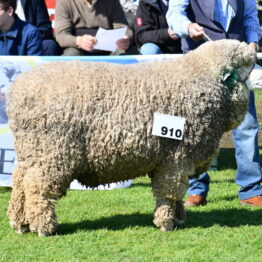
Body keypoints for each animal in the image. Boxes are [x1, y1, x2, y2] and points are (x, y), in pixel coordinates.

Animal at [6, 39, 256, 235]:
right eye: (248, 64)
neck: (201, 81)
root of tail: (17, 91)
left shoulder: (178, 161)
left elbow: (177, 194)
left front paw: (178, 217)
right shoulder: (175, 158)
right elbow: (169, 193)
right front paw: (166, 222)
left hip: (32, 152)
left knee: (19, 184)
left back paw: (20, 223)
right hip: (52, 154)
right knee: (37, 189)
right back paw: (43, 227)